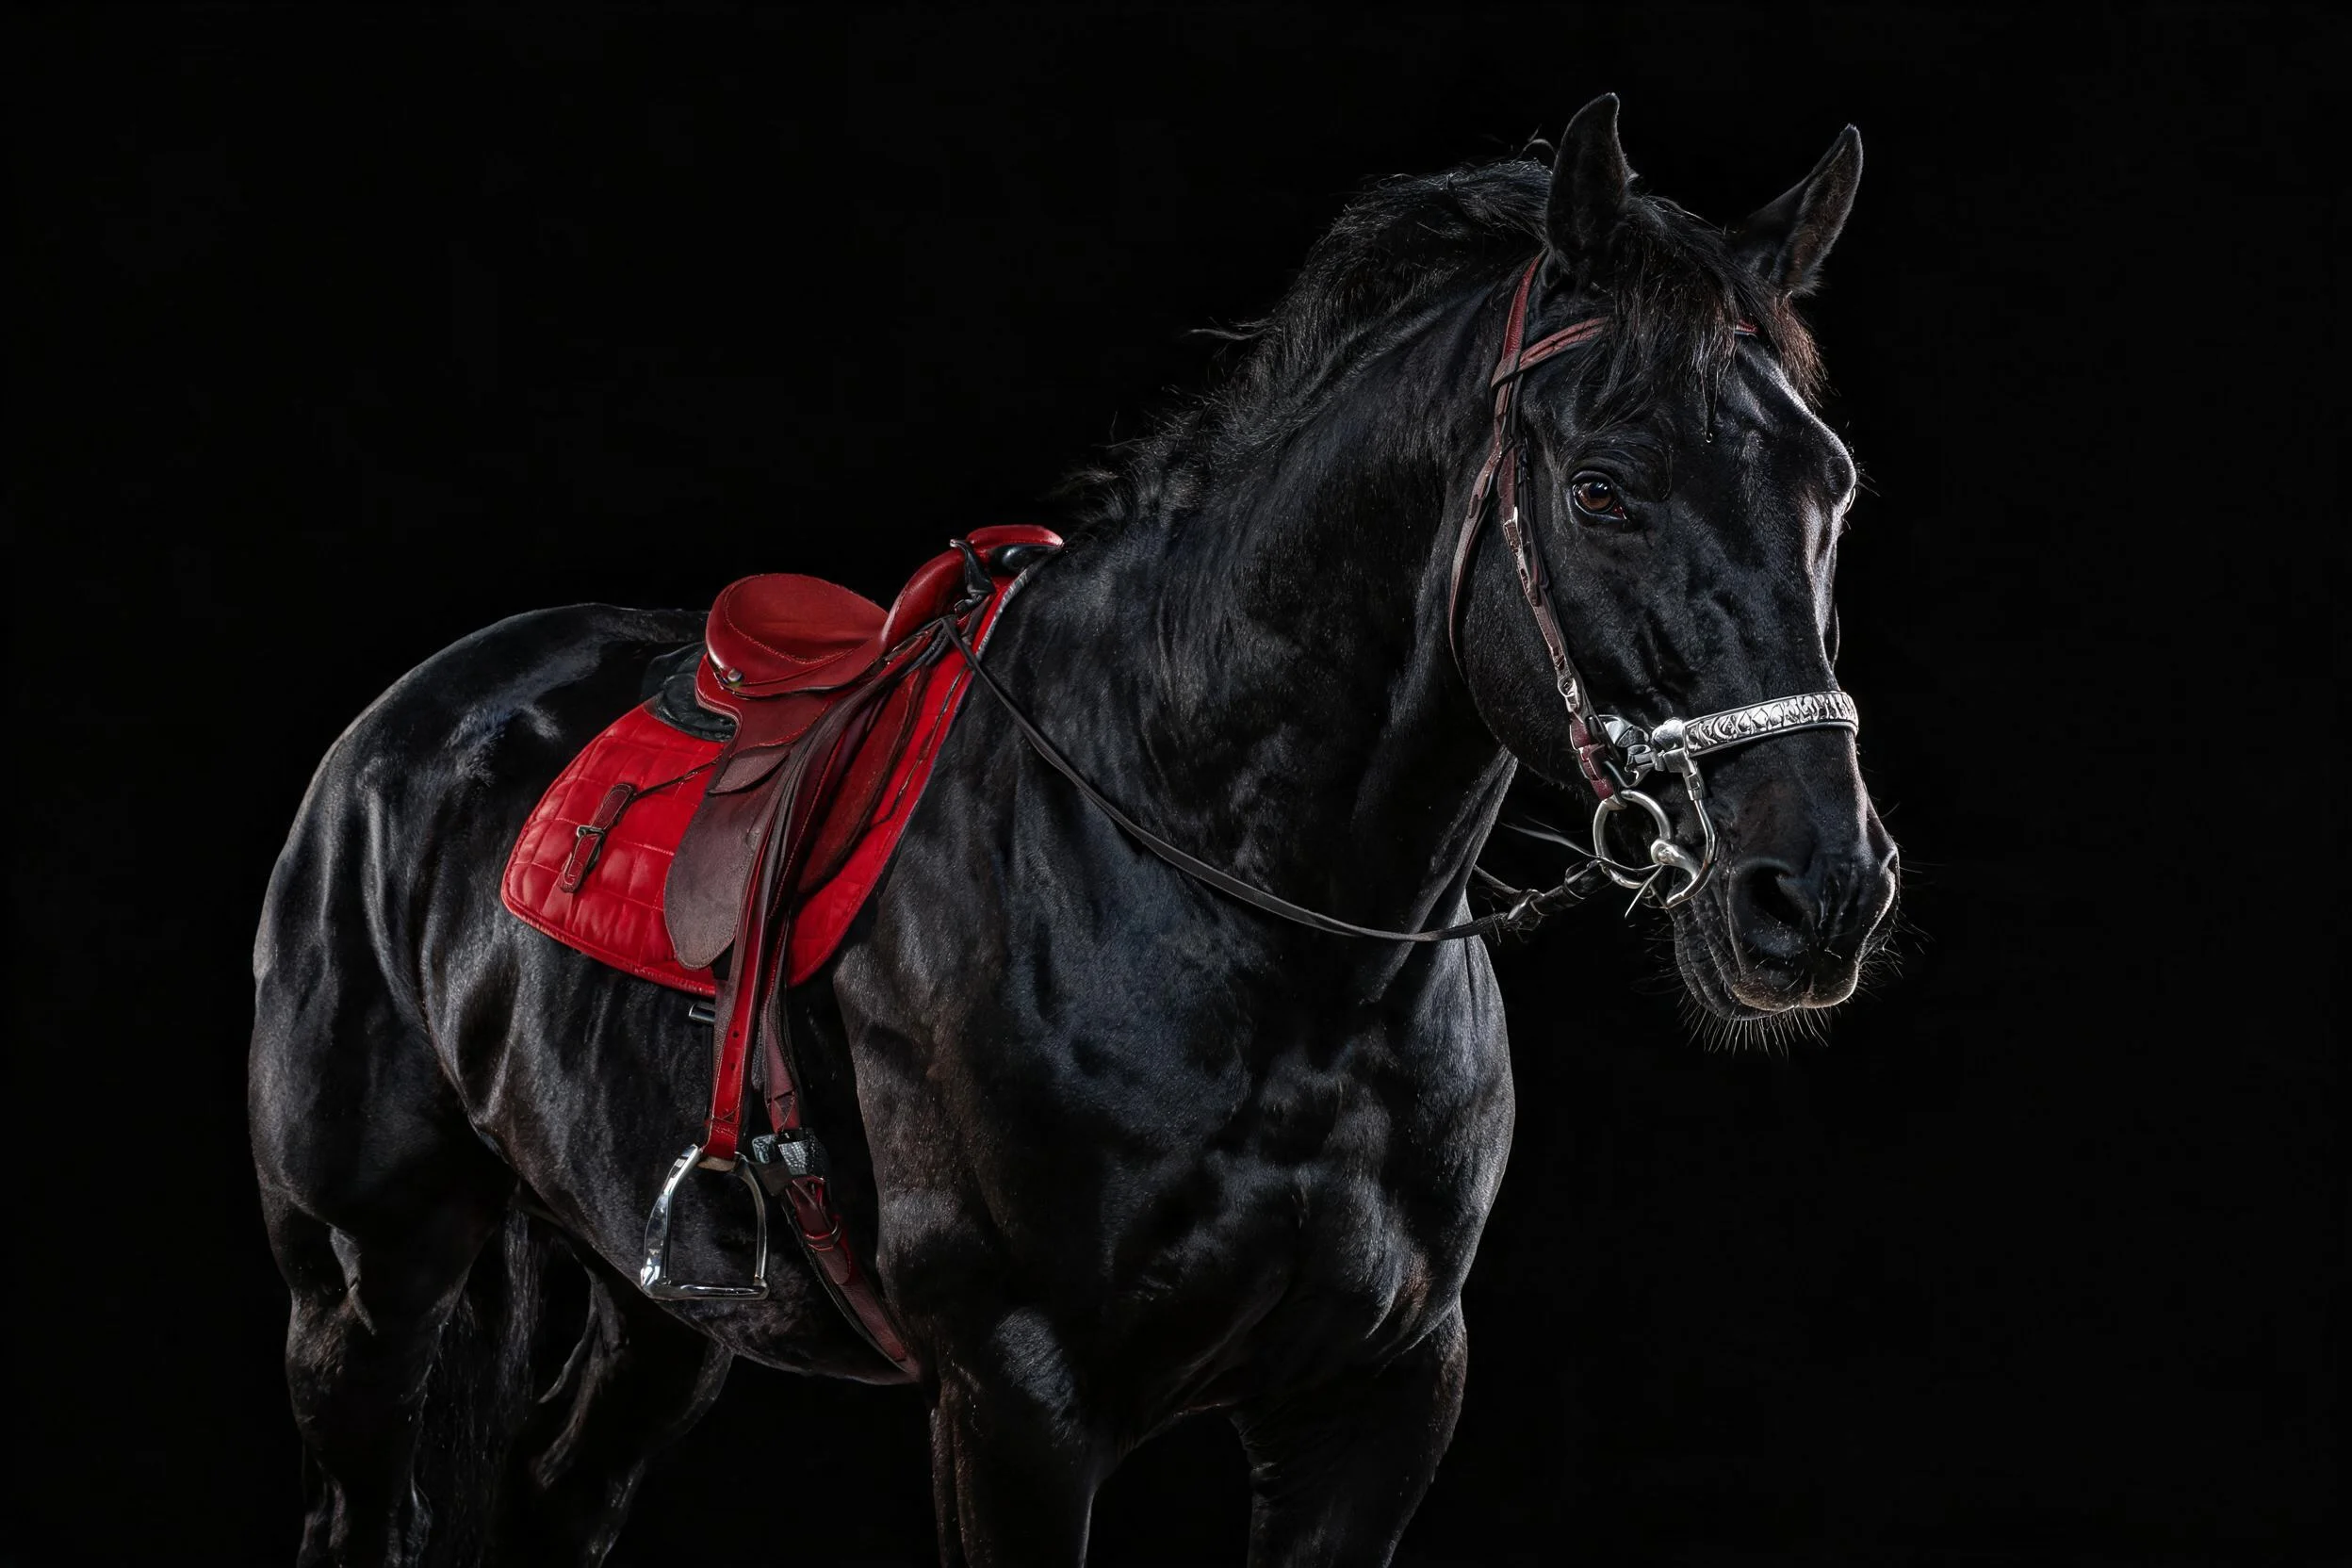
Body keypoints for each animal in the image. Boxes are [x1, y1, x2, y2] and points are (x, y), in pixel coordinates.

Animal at [250, 95, 1897, 1566]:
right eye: (1604, 488)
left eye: (1833, 482)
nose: (1817, 894)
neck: (1243, 911)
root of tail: (403, 731)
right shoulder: (1016, 1402)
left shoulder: (1376, 1402)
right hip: (365, 1290)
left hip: (665, 1311)